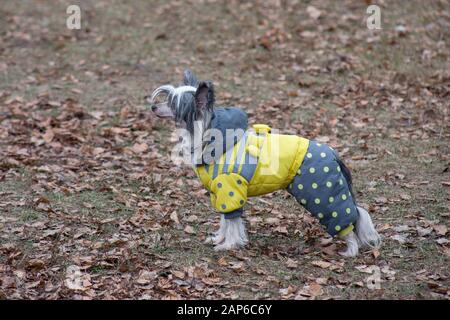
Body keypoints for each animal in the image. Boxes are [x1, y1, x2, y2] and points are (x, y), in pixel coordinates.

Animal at [148, 70, 380, 258]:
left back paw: (350, 250)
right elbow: (225, 220)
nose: (152, 106)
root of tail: (332, 152)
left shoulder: (230, 189)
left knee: (347, 218)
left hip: (320, 193)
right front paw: (220, 239)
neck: (210, 134)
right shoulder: (220, 193)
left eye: (172, 103)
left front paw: (229, 245)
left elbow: (232, 223)